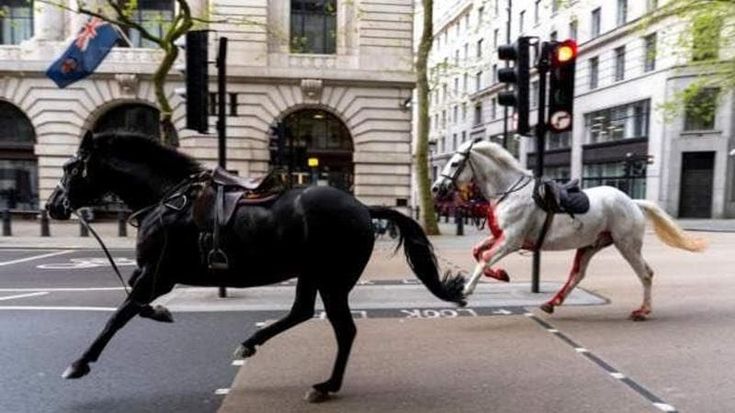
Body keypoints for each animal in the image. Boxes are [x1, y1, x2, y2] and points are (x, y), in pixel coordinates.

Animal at [46, 130, 466, 402]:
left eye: (69, 168)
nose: (52, 206)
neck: (167, 199)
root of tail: (363, 207)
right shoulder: (151, 274)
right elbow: (132, 303)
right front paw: (162, 313)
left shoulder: (158, 274)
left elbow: (119, 315)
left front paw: (79, 363)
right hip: (312, 274)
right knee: (302, 312)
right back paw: (253, 344)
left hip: (332, 279)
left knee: (343, 329)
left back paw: (326, 385)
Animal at [431, 139, 707, 321]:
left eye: (455, 163)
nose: (435, 188)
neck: (510, 191)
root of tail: (632, 202)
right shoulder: (501, 236)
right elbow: (478, 252)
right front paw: (500, 274)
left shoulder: (512, 240)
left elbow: (485, 258)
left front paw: (465, 290)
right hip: (591, 245)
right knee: (577, 275)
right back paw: (552, 303)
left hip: (626, 245)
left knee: (646, 274)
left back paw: (643, 311)